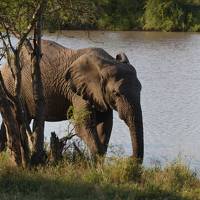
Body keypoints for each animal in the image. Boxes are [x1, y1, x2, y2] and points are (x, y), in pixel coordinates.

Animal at [0, 39, 144, 162]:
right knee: (16, 119)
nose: (130, 159)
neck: (106, 62)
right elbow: (83, 126)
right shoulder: (77, 91)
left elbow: (105, 126)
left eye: (141, 89)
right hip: (11, 85)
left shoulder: (99, 96)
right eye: (116, 93)